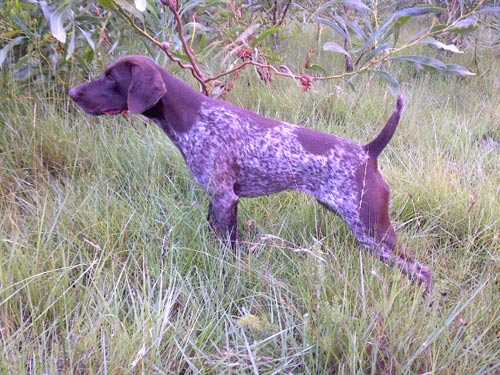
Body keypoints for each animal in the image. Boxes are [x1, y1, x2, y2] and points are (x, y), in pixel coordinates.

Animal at [70, 55, 434, 294]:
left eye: (111, 78)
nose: (73, 93)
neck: (193, 116)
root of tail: (368, 151)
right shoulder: (218, 199)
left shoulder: (224, 197)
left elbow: (227, 247)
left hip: (372, 231)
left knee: (423, 271)